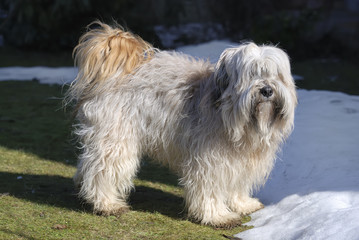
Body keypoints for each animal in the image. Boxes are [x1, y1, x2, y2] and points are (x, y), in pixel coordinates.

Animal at [67, 21, 298, 228]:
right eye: (251, 74)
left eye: (277, 75)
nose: (267, 90)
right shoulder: (210, 161)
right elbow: (210, 188)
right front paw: (217, 216)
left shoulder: (240, 162)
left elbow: (237, 184)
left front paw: (243, 204)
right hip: (116, 138)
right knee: (103, 169)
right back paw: (106, 203)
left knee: (90, 162)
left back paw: (81, 186)